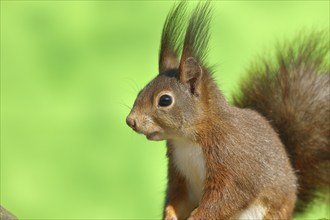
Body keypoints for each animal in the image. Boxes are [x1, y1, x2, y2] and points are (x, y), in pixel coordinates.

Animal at [125, 2, 328, 220]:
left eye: (164, 100)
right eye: (141, 91)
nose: (130, 121)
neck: (187, 140)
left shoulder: (231, 158)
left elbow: (227, 197)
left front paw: (196, 216)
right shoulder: (179, 172)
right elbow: (178, 197)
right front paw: (170, 215)